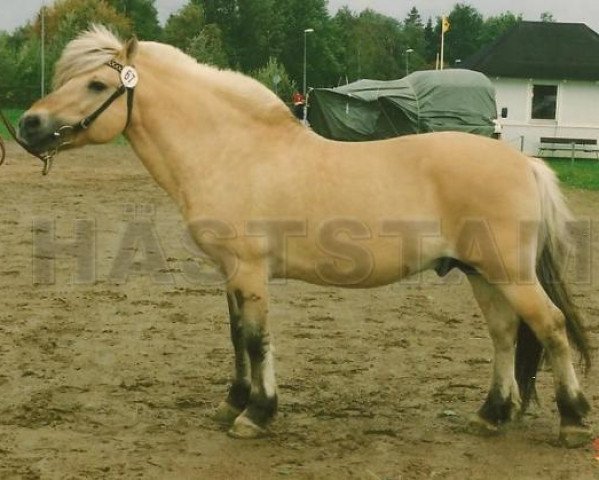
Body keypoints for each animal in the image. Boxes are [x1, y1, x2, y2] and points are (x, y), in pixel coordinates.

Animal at [17, 26, 592, 446]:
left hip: (509, 273)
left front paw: (256, 414)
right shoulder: (230, 275)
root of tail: (524, 162)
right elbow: (236, 337)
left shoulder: (250, 272)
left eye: (95, 85)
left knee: (551, 326)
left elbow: (256, 338)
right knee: (504, 334)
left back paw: (571, 420)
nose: (27, 125)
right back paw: (491, 414)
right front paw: (233, 401)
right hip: (481, 273)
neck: (232, 151)